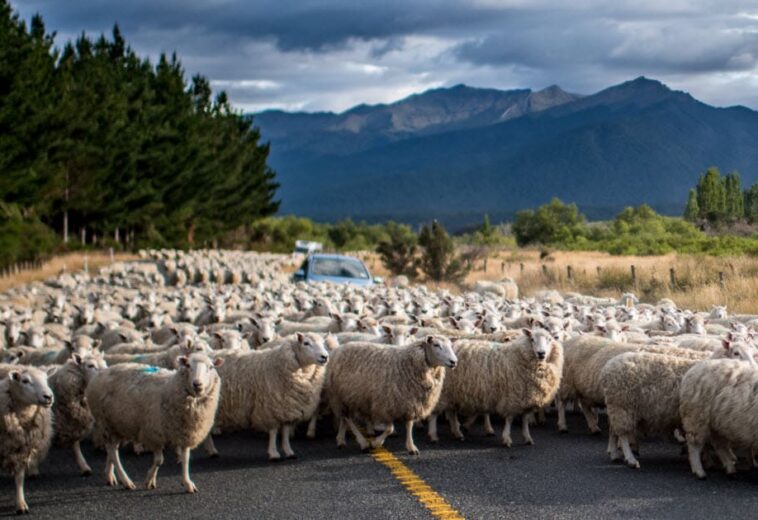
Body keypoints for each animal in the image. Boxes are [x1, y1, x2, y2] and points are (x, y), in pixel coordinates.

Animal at [0, 364, 55, 512]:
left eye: (46, 379)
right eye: (25, 381)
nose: (48, 396)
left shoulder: (22, 447)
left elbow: (19, 478)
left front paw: (21, 504)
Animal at [87, 354, 223, 492]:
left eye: (211, 367)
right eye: (188, 365)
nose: (197, 384)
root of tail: (101, 373)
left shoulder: (185, 432)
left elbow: (185, 459)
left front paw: (187, 483)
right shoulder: (155, 433)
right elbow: (159, 460)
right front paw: (149, 480)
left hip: (117, 424)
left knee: (110, 450)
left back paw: (110, 476)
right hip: (105, 421)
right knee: (113, 451)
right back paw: (126, 481)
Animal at [326, 336, 458, 452]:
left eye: (451, 345)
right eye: (436, 345)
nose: (454, 362)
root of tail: (338, 349)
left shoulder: (410, 402)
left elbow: (409, 425)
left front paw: (411, 447)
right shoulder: (386, 404)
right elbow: (390, 429)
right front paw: (376, 443)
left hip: (349, 397)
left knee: (344, 418)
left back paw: (341, 440)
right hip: (339, 396)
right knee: (348, 419)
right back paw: (363, 443)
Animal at [430, 330, 560, 446]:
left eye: (549, 339)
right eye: (532, 339)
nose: (541, 353)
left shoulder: (525, 399)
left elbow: (524, 420)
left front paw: (527, 437)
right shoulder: (511, 398)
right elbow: (509, 419)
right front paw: (506, 438)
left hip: (452, 392)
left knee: (451, 412)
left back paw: (457, 433)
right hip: (442, 392)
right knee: (435, 413)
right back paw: (433, 435)